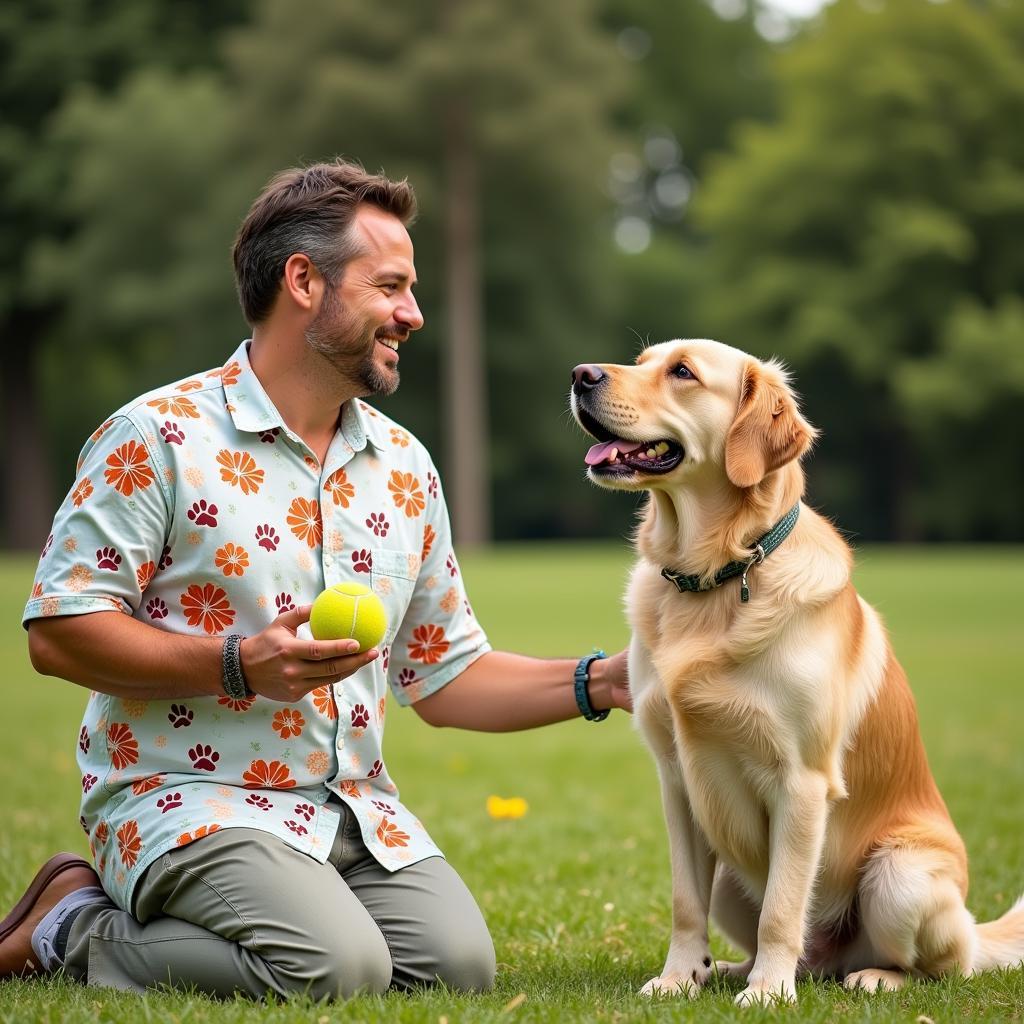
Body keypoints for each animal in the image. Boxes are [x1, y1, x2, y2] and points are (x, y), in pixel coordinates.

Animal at [569, 339, 1024, 1003]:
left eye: (682, 372)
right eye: (642, 358)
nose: (581, 375)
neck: (717, 578)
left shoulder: (802, 782)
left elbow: (783, 908)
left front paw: (766, 994)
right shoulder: (676, 781)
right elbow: (685, 903)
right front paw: (679, 979)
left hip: (899, 875)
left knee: (941, 965)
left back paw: (869, 976)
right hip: (731, 879)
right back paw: (731, 970)